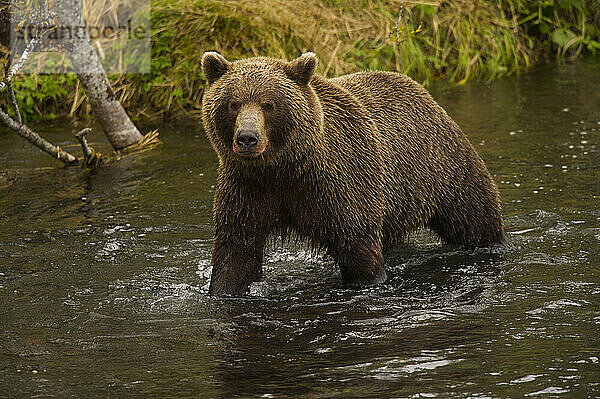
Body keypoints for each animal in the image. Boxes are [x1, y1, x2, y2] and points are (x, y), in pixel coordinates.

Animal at [202, 51, 506, 296]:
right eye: (233, 103)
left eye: (268, 104)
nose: (247, 138)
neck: (283, 169)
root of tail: (418, 87)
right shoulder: (247, 189)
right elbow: (236, 250)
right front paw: (224, 289)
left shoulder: (339, 184)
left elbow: (357, 245)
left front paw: (367, 280)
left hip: (444, 168)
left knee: (474, 214)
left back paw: (492, 243)